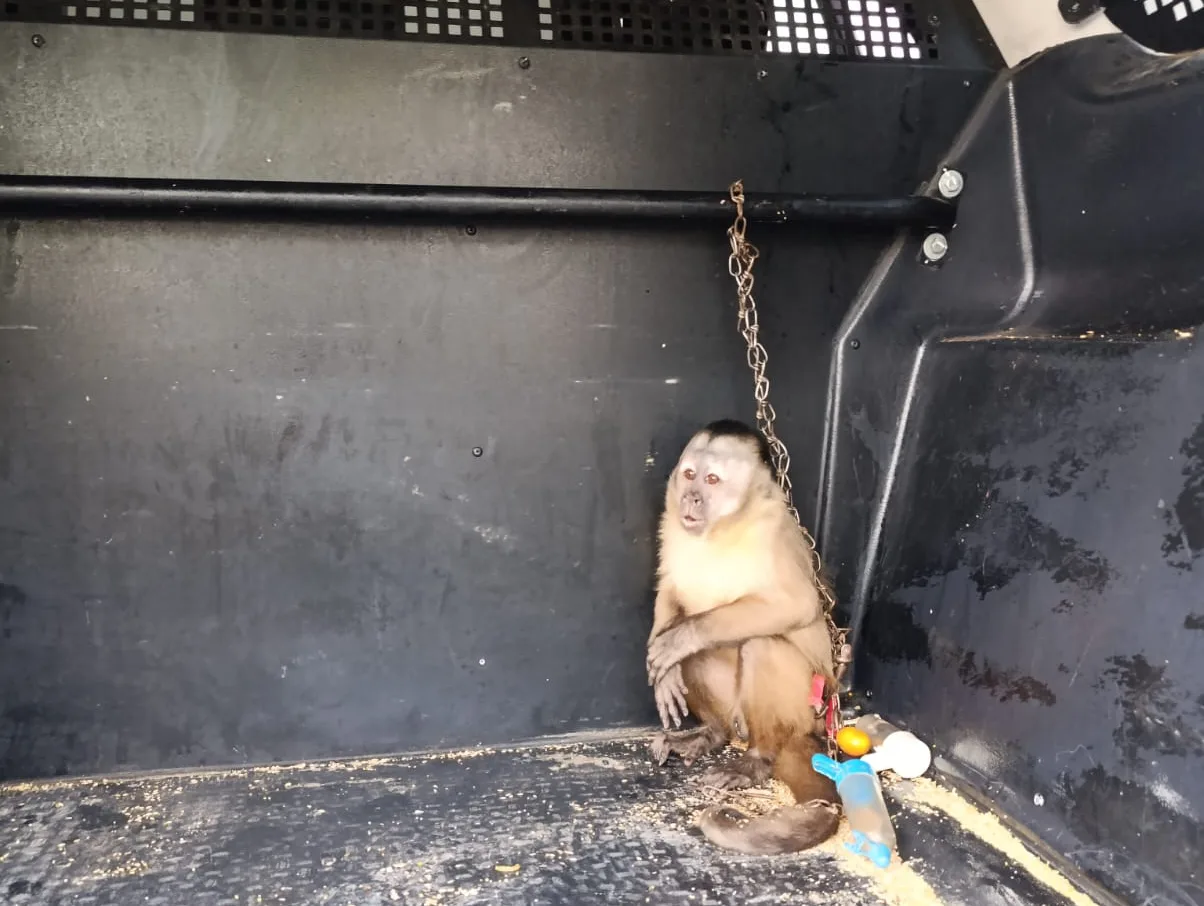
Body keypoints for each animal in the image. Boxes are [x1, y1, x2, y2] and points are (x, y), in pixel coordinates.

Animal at [645, 419, 841, 855]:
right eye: (690, 475)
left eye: (712, 480)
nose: (693, 497)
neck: (721, 531)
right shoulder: (671, 523)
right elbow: (669, 591)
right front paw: (665, 674)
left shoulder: (771, 535)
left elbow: (796, 606)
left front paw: (681, 638)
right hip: (736, 714)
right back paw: (710, 735)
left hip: (804, 707)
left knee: (761, 645)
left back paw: (757, 758)